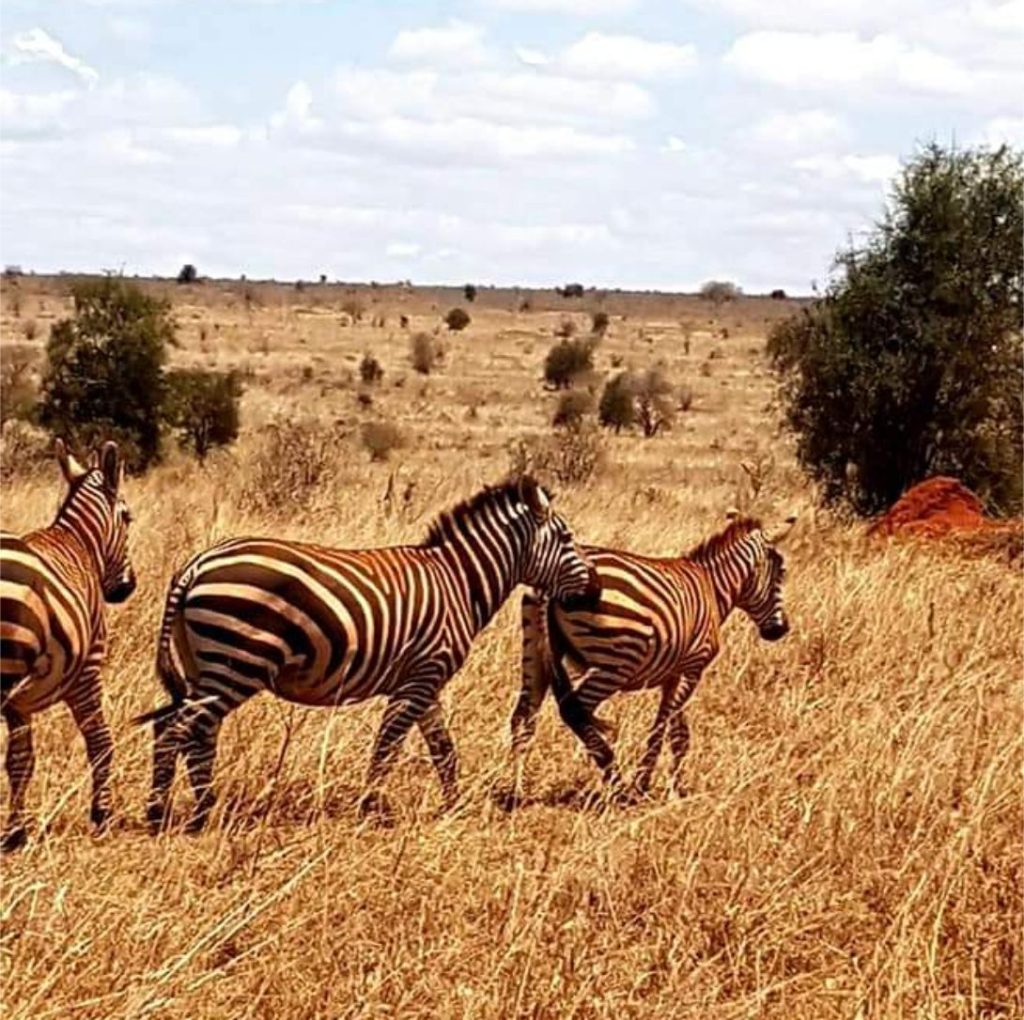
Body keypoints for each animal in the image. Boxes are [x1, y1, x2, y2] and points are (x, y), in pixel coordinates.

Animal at [0, 442, 136, 847]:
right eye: (128, 518)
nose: (127, 588)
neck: (81, 544)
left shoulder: (19, 703)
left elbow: (20, 761)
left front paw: (16, 833)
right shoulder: (87, 671)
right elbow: (100, 742)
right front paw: (102, 814)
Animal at [136, 475, 598, 827]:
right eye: (567, 538)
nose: (595, 590)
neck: (460, 582)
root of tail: (197, 564)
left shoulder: (424, 679)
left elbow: (441, 748)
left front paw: (454, 805)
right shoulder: (422, 676)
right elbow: (388, 745)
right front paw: (371, 805)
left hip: (206, 666)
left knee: (188, 730)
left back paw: (192, 810)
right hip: (237, 663)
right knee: (178, 729)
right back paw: (172, 813)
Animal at [507, 510, 794, 798]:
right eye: (781, 574)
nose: (782, 630)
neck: (712, 587)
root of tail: (551, 586)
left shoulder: (674, 674)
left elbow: (677, 733)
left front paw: (670, 784)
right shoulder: (693, 667)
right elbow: (664, 727)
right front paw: (645, 783)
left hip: (534, 651)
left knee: (523, 716)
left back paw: (516, 788)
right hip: (616, 663)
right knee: (573, 711)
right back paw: (615, 778)